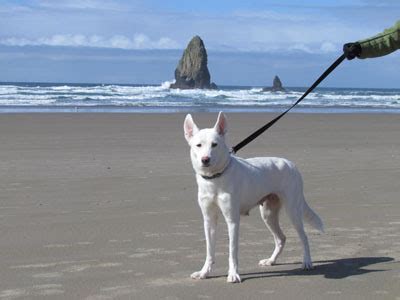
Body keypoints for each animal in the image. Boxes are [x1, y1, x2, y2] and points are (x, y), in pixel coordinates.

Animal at [183, 112, 324, 284]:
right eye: (198, 145)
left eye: (214, 145)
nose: (205, 159)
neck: (215, 179)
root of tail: (291, 164)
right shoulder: (208, 220)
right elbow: (209, 251)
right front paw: (204, 272)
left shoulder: (232, 220)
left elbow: (232, 251)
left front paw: (233, 274)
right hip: (268, 214)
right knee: (281, 238)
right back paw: (271, 260)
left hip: (293, 211)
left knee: (304, 237)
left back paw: (307, 262)